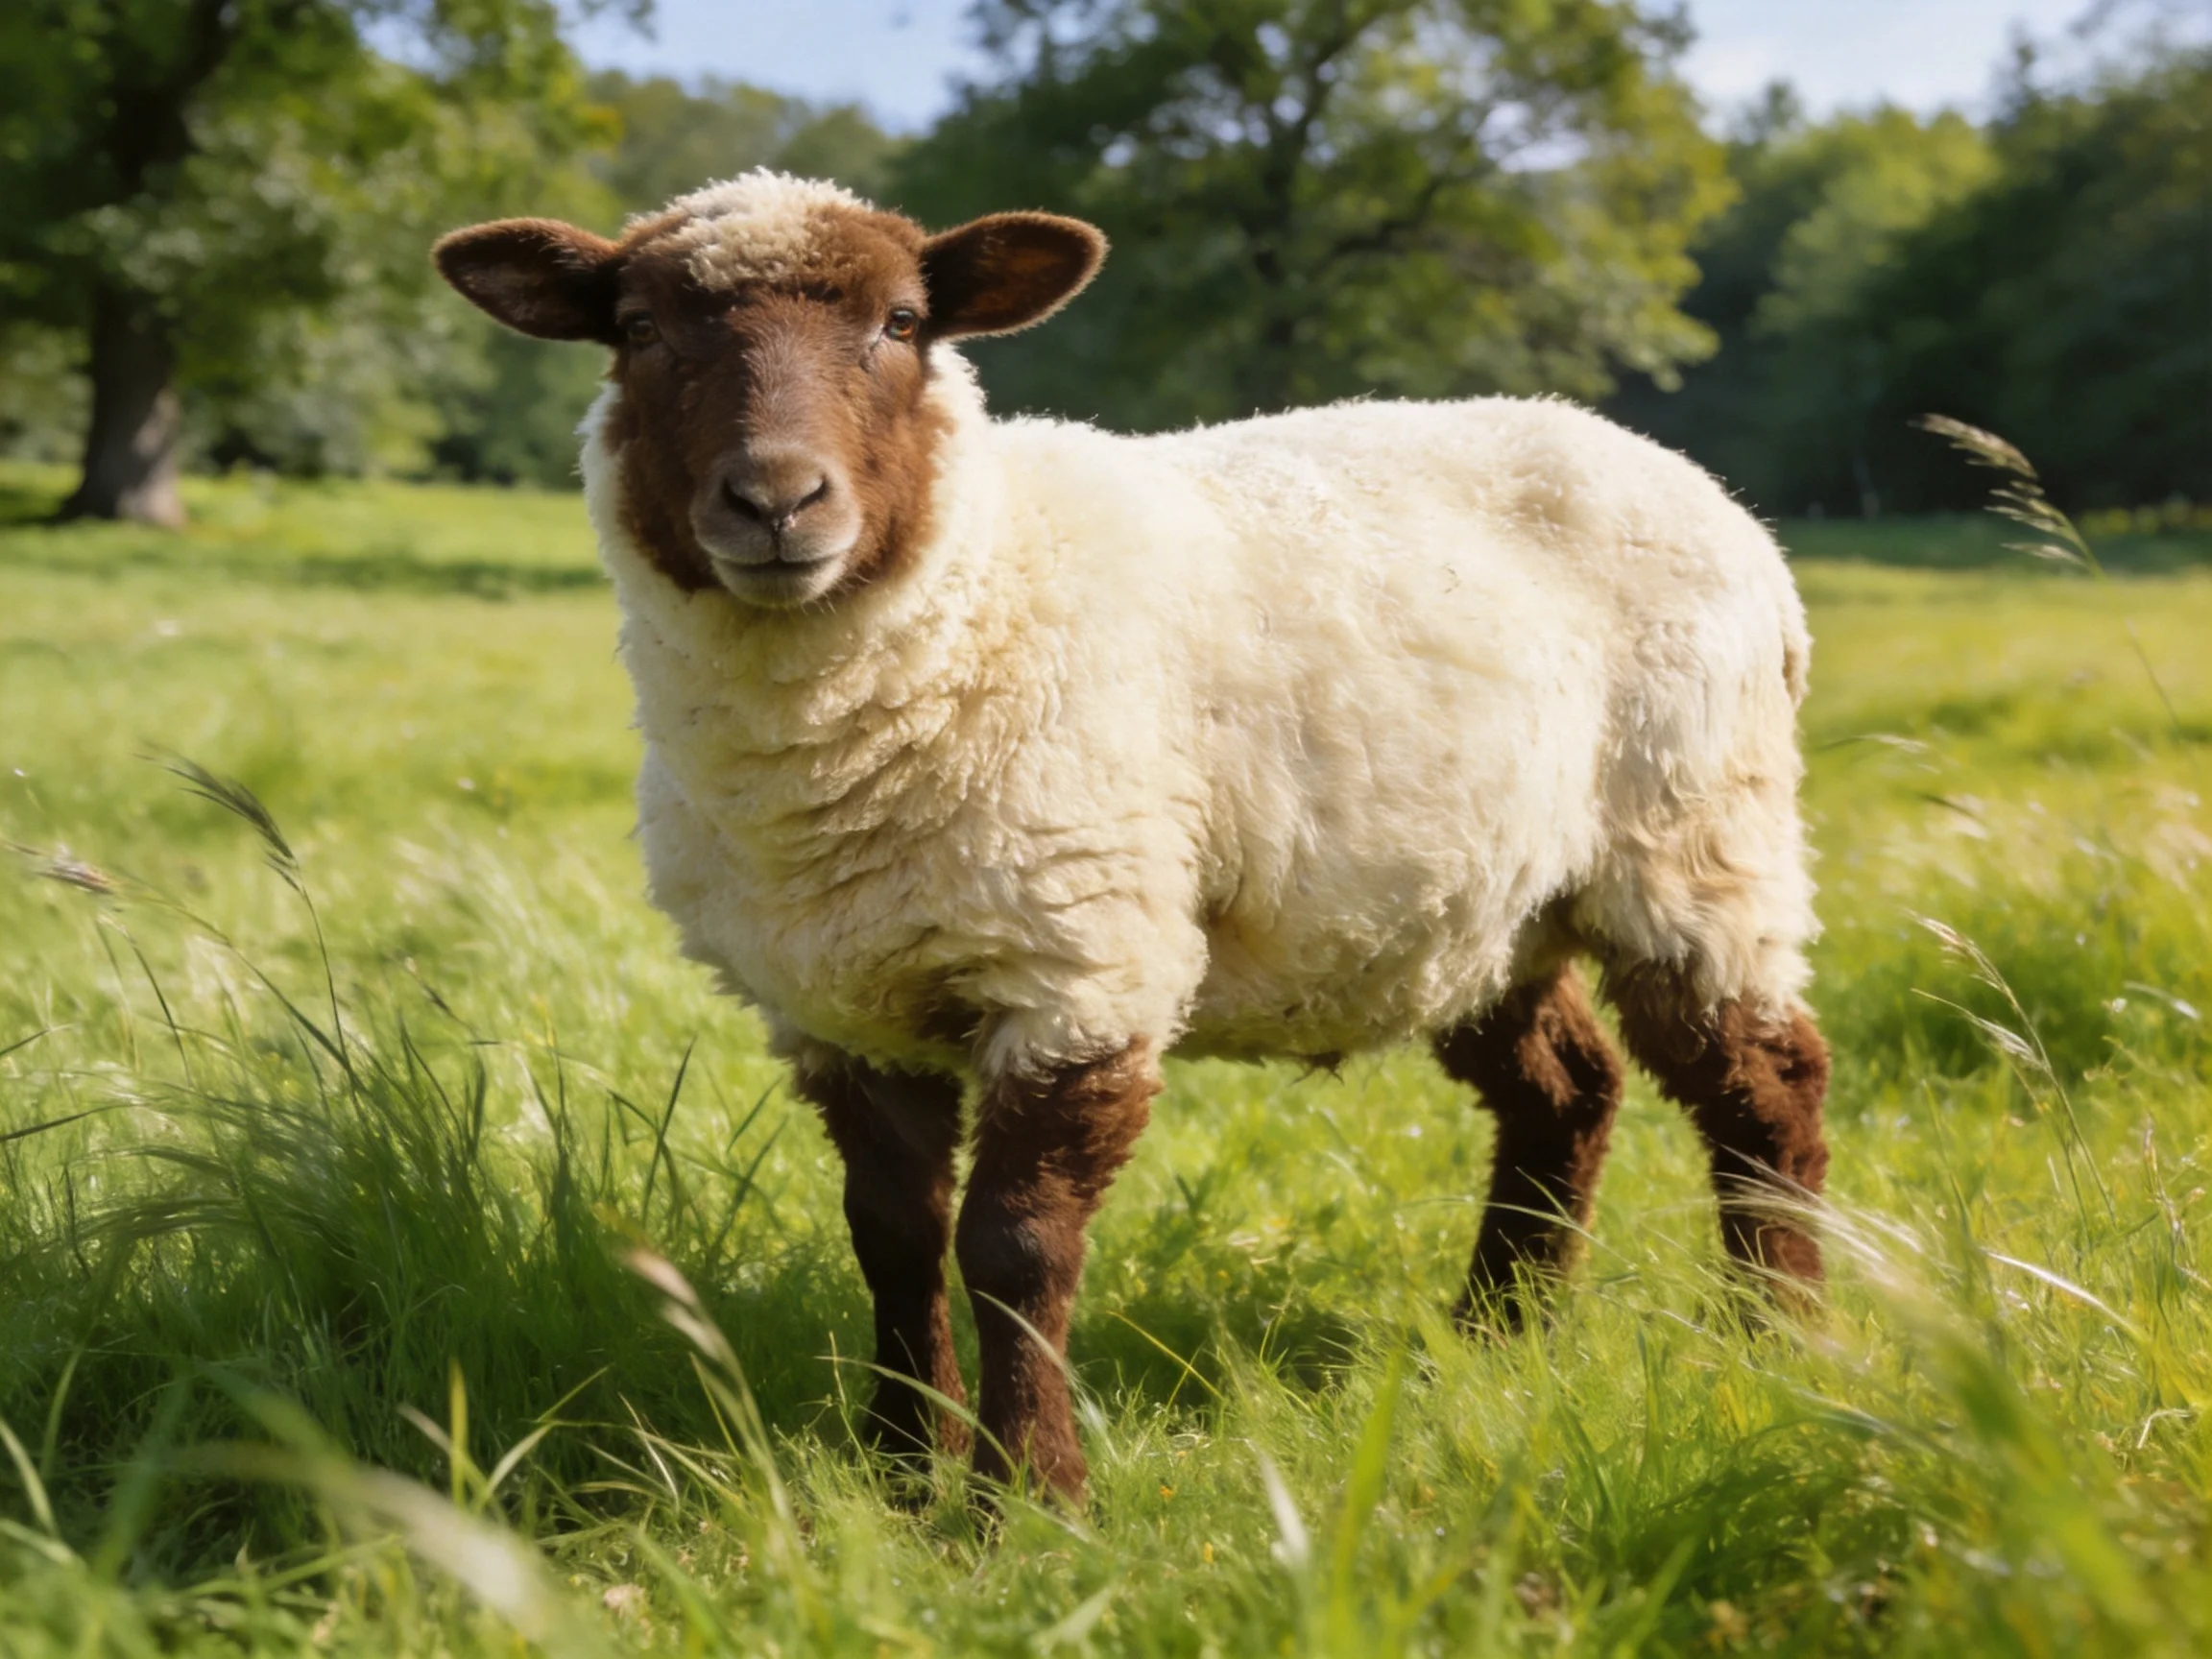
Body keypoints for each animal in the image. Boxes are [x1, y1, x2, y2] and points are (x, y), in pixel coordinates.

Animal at [433, 169, 1832, 1506]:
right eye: (637, 330)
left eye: (904, 324)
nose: (778, 499)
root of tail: (1699, 488)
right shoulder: (839, 1006)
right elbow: (890, 1234)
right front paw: (903, 1470)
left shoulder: (1078, 964)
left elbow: (1013, 1248)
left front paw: (1026, 1498)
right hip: (1476, 903)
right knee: (1568, 1090)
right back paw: (1500, 1332)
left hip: (1701, 837)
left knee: (1768, 1085)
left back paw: (1777, 1340)